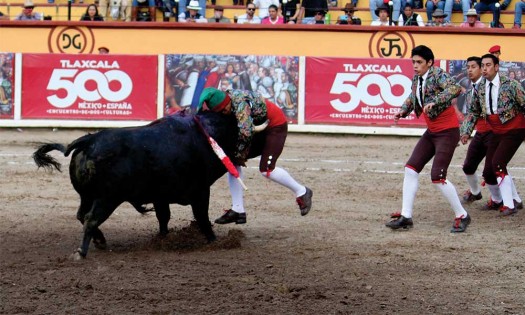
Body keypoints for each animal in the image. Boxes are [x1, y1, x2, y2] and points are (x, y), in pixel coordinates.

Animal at [34, 111, 244, 260]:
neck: (206, 136)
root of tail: (90, 140)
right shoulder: (200, 191)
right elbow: (202, 217)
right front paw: (213, 240)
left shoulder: (161, 196)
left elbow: (163, 217)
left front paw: (163, 239)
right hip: (107, 198)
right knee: (90, 219)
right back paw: (81, 252)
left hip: (87, 196)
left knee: (81, 215)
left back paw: (100, 240)